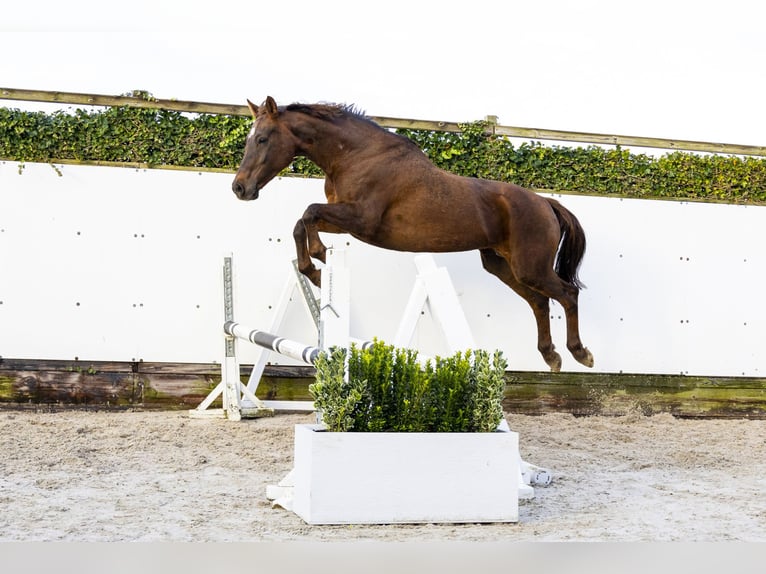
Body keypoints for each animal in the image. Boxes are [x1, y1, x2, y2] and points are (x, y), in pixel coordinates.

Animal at [232, 96, 592, 372]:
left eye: (262, 139)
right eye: (249, 138)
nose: (239, 188)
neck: (355, 156)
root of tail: (545, 202)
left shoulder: (361, 220)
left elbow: (309, 212)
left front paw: (319, 260)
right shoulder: (345, 219)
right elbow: (302, 222)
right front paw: (315, 269)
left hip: (530, 267)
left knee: (567, 294)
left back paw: (580, 353)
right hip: (503, 265)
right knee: (540, 301)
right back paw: (551, 356)